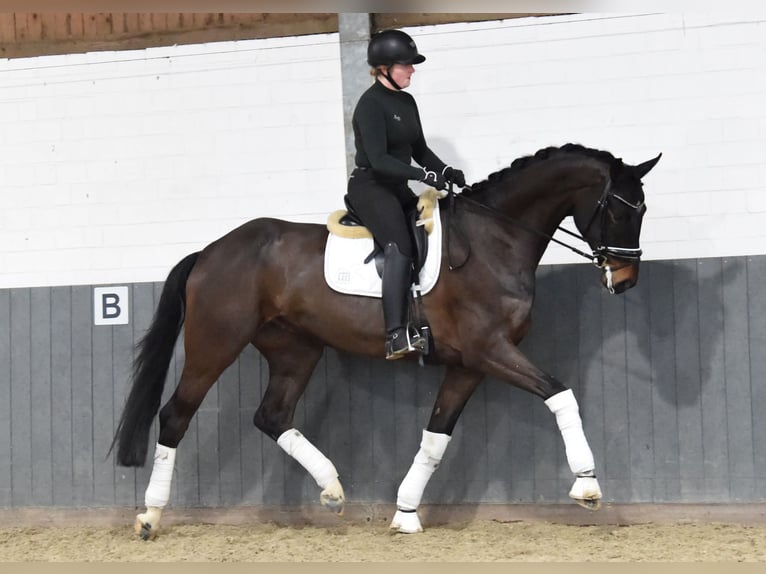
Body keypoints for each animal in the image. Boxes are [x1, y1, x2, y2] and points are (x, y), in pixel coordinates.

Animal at [111, 144, 664, 540]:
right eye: (621, 210)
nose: (626, 280)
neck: (494, 241)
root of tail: (210, 251)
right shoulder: (491, 351)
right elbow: (560, 393)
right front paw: (587, 485)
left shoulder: (468, 365)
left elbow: (435, 437)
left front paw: (405, 514)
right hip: (216, 344)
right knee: (175, 415)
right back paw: (150, 517)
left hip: (296, 350)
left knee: (272, 416)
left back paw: (333, 490)